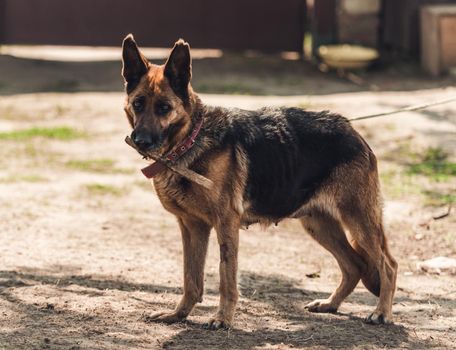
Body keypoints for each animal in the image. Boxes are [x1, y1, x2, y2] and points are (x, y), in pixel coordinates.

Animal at [122, 34, 400, 328]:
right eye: (138, 104)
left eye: (164, 108)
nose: (141, 141)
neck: (190, 140)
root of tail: (353, 131)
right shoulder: (192, 227)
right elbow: (191, 278)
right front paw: (178, 314)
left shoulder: (225, 224)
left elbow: (226, 276)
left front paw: (223, 318)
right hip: (319, 225)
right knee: (354, 265)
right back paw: (330, 304)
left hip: (358, 219)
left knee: (388, 265)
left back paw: (382, 312)